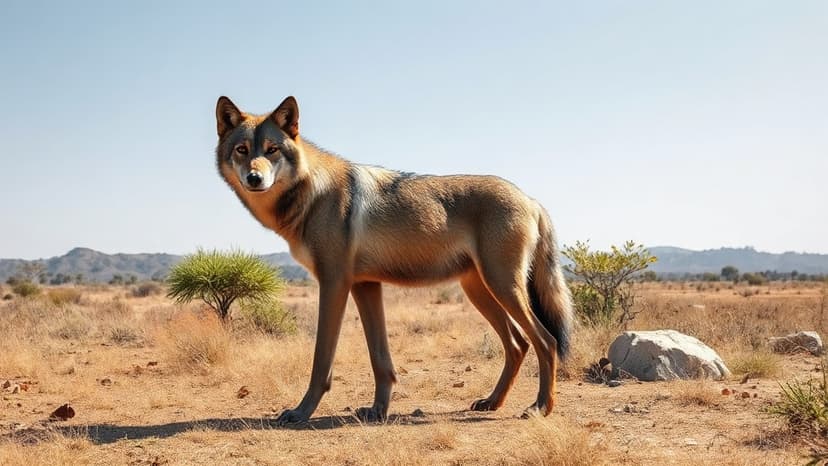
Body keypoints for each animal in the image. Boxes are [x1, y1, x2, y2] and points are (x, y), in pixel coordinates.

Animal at [214, 96, 573, 423]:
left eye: (272, 150)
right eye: (242, 150)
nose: (254, 179)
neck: (311, 193)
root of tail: (531, 199)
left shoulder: (333, 283)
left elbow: (321, 362)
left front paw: (302, 412)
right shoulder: (365, 285)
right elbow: (380, 361)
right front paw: (377, 411)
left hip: (502, 287)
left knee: (546, 341)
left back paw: (540, 407)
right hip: (480, 291)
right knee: (518, 344)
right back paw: (492, 402)